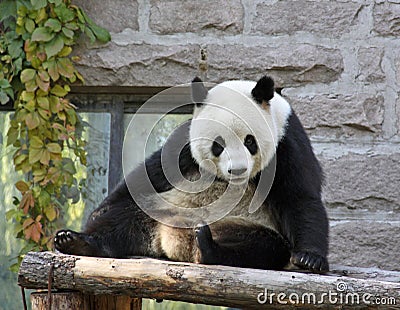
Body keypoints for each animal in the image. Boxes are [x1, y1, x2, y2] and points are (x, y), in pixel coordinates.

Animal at [54, 76, 328, 272]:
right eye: (218, 145)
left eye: (250, 141)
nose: (237, 170)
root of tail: (173, 241)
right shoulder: (185, 142)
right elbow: (150, 173)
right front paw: (95, 215)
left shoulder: (286, 141)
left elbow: (299, 197)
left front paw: (310, 258)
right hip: (161, 208)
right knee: (126, 216)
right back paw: (79, 242)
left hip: (243, 225)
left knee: (263, 247)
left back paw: (208, 248)